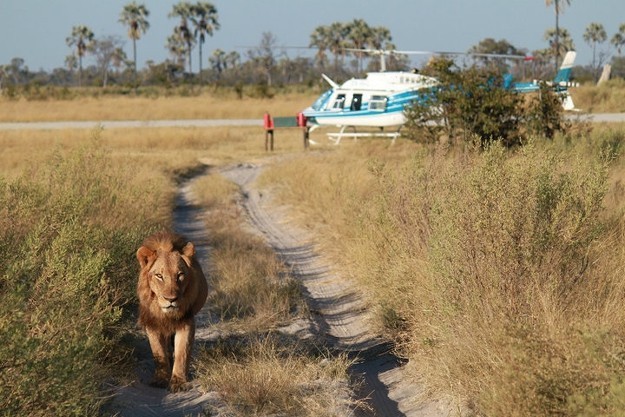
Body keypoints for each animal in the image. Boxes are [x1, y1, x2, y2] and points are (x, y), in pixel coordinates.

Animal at [136, 231, 208, 390]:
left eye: (180, 275)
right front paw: (161, 379)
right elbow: (158, 351)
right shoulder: (152, 323)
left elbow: (182, 352)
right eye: (159, 276)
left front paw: (178, 381)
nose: (171, 299)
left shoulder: (186, 321)